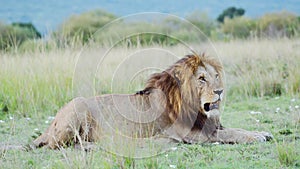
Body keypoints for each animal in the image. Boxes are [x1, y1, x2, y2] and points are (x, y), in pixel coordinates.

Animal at [32, 54, 272, 149]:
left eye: (215, 76)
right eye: (201, 79)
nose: (220, 91)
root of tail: (48, 127)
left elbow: (236, 128)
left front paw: (261, 132)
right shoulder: (194, 135)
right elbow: (230, 133)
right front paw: (255, 137)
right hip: (78, 106)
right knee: (59, 145)